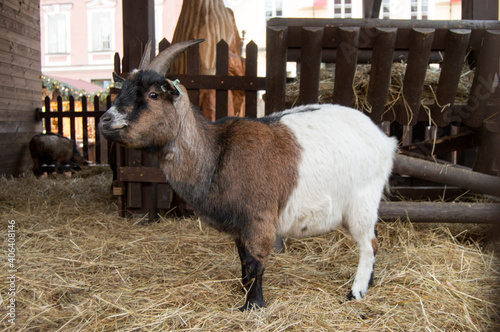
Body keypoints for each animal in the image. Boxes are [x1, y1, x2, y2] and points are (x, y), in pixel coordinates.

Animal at [99, 39, 398, 312]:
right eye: (123, 89)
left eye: (153, 94)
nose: (105, 120)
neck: (216, 154)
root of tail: (385, 140)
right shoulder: (239, 226)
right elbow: (243, 259)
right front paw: (242, 289)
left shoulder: (258, 220)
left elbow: (256, 262)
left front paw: (253, 305)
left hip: (362, 202)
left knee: (369, 244)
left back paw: (356, 292)